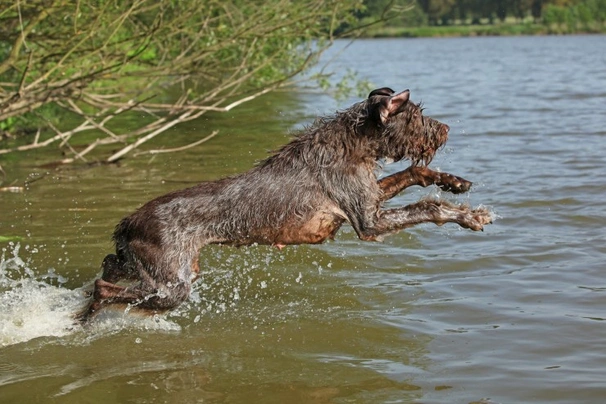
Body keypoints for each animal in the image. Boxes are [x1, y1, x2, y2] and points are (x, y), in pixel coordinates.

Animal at [77, 87, 494, 322]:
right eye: (417, 116)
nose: (445, 129)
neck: (353, 144)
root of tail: (126, 223)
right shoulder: (368, 221)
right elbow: (427, 208)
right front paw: (469, 216)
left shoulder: (370, 197)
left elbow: (415, 173)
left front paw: (454, 182)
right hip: (170, 285)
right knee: (102, 287)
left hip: (152, 268)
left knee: (109, 265)